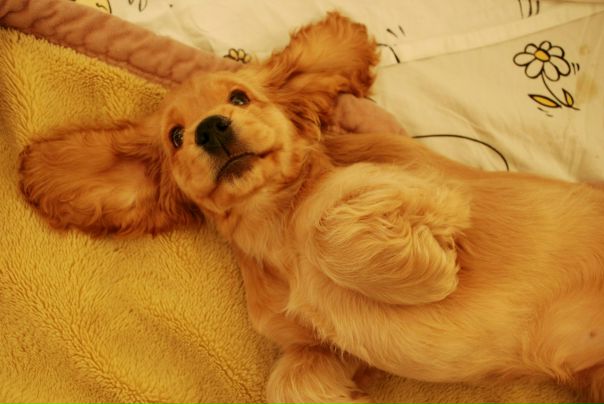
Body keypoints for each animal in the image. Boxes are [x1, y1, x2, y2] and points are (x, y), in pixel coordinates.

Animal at [19, 12, 604, 404]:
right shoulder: (321, 351)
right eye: (175, 135)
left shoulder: (434, 191)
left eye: (239, 97)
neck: (272, 223)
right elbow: (290, 382)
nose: (211, 129)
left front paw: (429, 274)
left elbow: (324, 221)